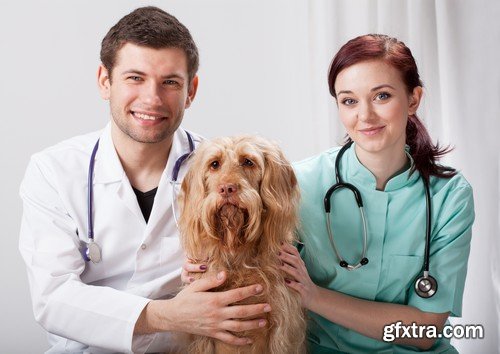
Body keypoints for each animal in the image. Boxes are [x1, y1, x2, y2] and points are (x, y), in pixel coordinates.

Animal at [178, 136, 306, 354]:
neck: (237, 254)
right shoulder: (201, 331)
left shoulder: (283, 329)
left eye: (248, 161)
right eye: (214, 164)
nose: (227, 188)